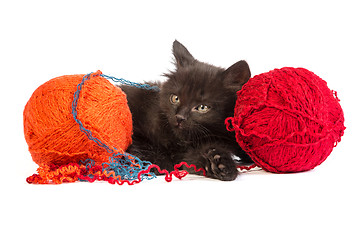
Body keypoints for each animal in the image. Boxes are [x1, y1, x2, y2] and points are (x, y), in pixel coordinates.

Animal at [119, 40, 252, 180]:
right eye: (175, 98)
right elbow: (140, 143)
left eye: (202, 107)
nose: (179, 117)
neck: (182, 141)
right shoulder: (136, 123)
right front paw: (158, 163)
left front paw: (221, 164)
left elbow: (193, 160)